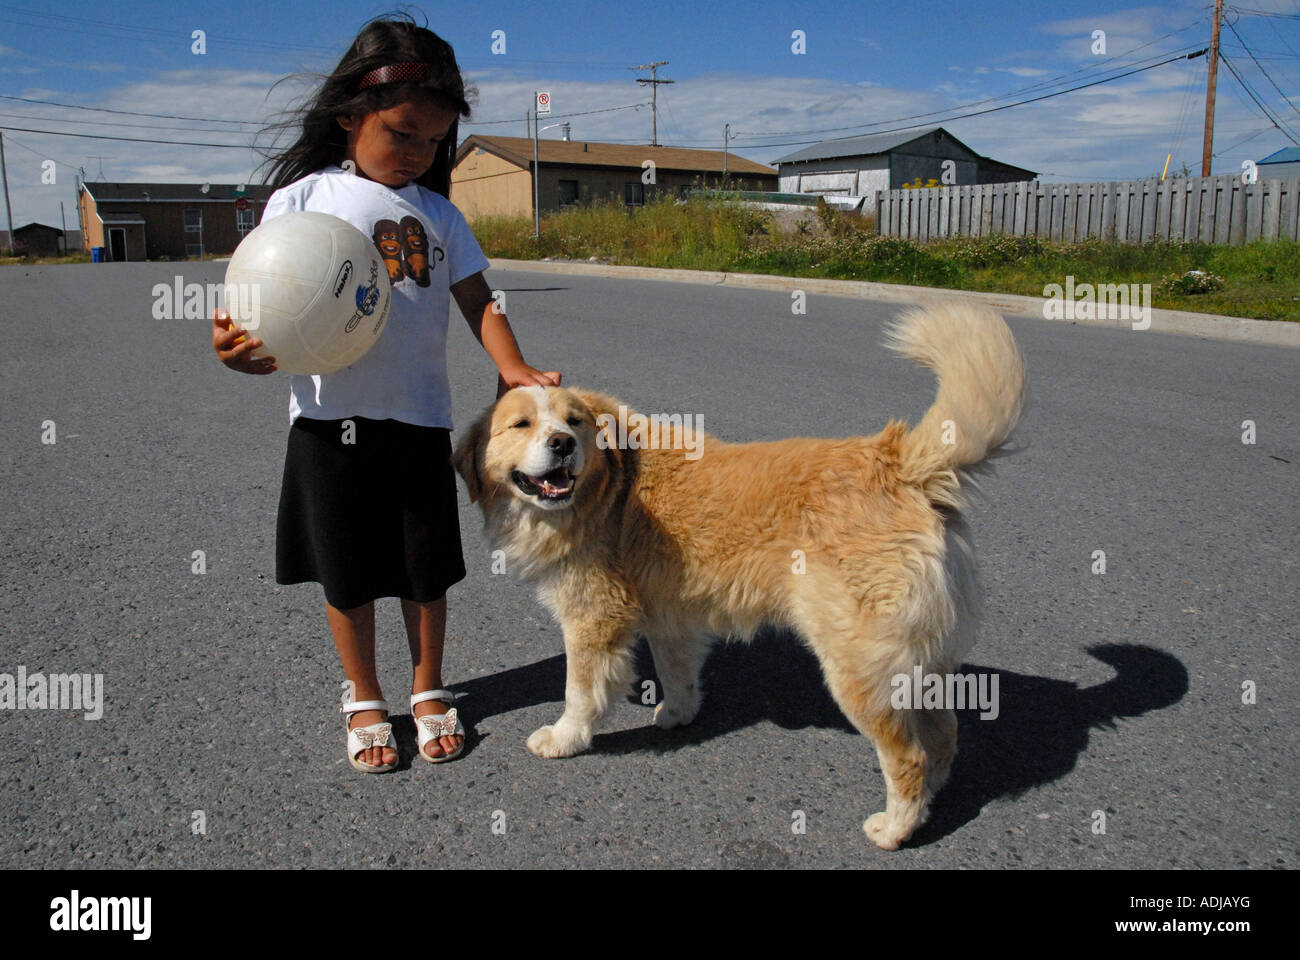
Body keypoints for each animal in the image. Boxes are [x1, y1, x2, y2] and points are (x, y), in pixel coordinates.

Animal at [454, 299, 1024, 842]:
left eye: (572, 422)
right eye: (523, 425)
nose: (563, 444)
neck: (609, 483)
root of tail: (899, 462)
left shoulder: (592, 620)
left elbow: (580, 692)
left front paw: (565, 738)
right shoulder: (669, 617)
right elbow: (677, 674)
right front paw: (677, 716)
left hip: (859, 669)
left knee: (909, 757)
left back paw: (896, 827)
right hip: (918, 664)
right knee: (944, 735)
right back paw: (930, 803)